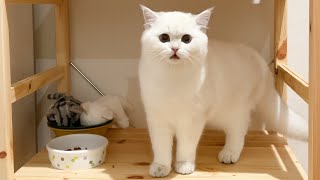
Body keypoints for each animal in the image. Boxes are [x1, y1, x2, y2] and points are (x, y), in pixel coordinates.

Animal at [138, 5, 308, 177]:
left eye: (186, 39)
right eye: (164, 38)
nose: (175, 48)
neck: (172, 77)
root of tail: (261, 63)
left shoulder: (191, 120)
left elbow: (186, 146)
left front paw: (184, 165)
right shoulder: (157, 119)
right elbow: (161, 148)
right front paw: (161, 167)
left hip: (235, 111)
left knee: (238, 132)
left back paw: (229, 154)